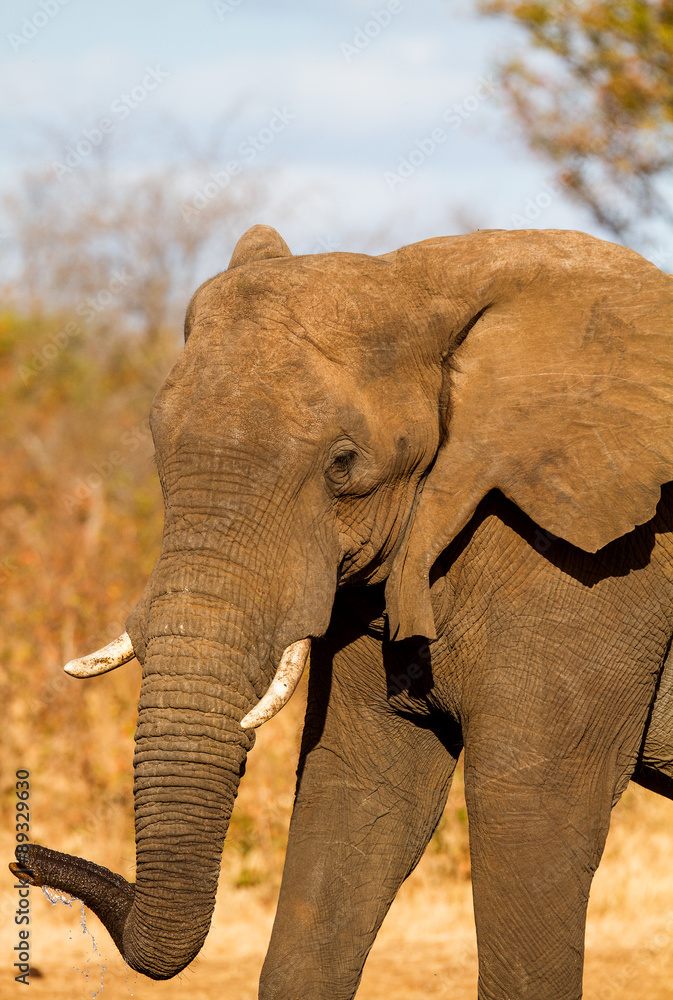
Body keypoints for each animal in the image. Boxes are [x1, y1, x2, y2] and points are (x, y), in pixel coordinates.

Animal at [10, 224, 673, 1000]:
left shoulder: (595, 567)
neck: (428, 283)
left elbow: (533, 807)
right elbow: (353, 794)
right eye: (156, 449)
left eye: (343, 464)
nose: (23, 858)